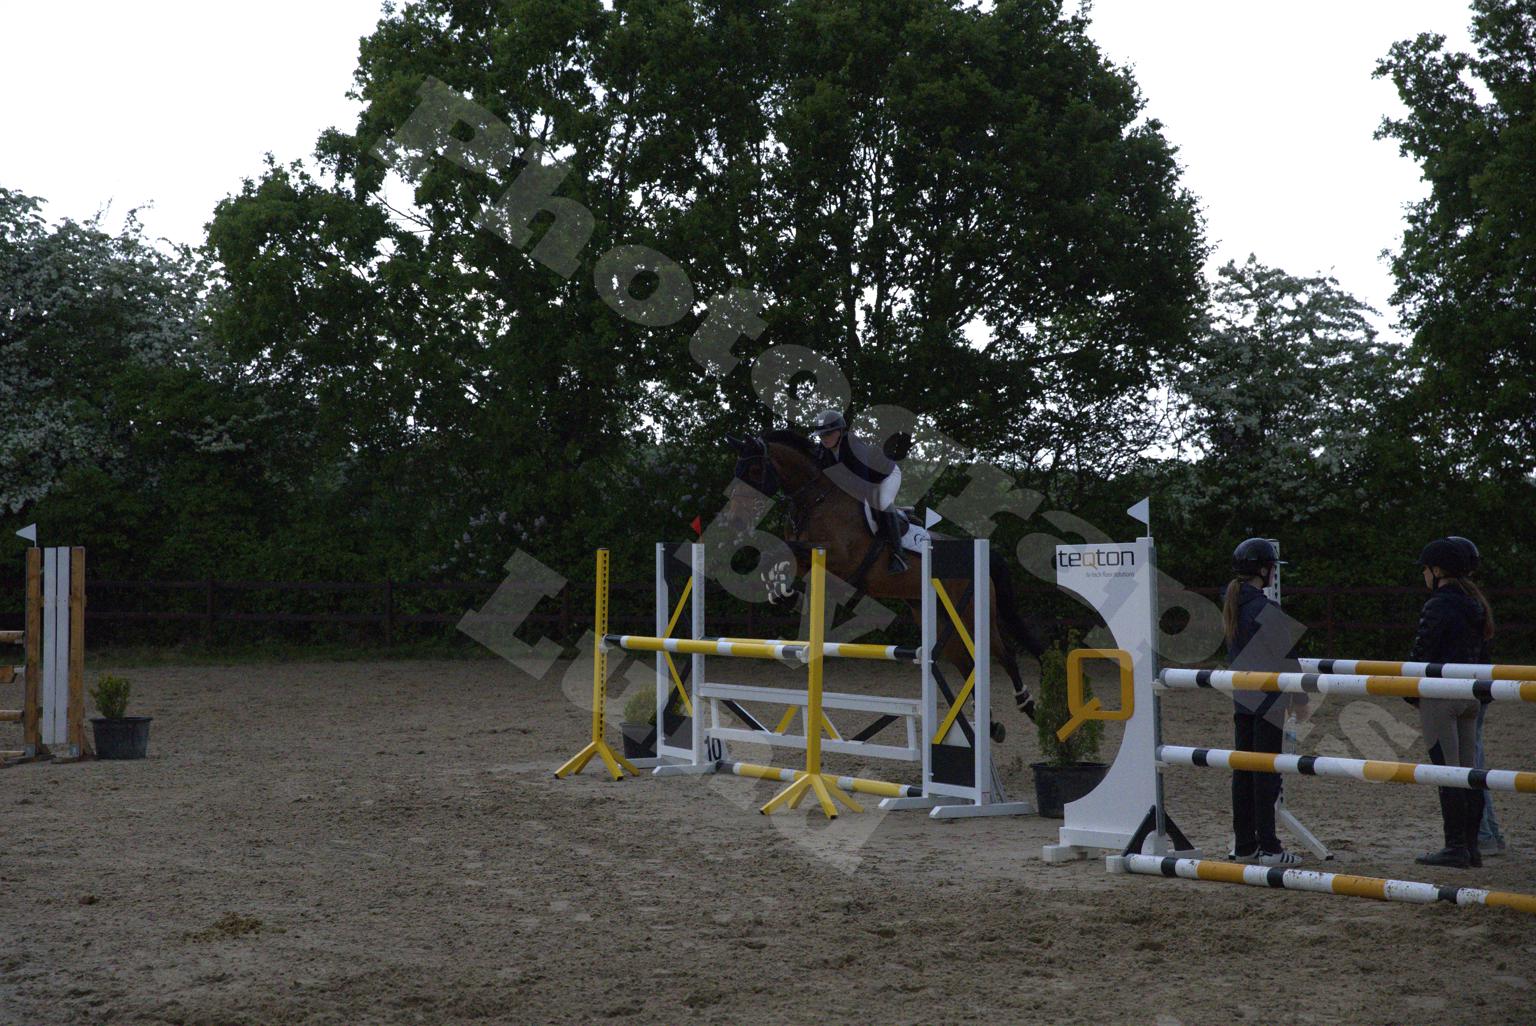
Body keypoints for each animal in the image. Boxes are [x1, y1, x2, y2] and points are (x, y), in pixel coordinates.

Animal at [721, 430, 1045, 737]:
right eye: (736, 470)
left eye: (753, 471)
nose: (734, 523)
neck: (814, 499)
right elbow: (778, 556)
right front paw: (783, 592)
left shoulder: (839, 558)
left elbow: (784, 552)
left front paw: (788, 593)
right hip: (938, 618)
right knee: (967, 664)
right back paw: (989, 724)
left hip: (971, 612)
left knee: (1004, 654)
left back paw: (1027, 705)